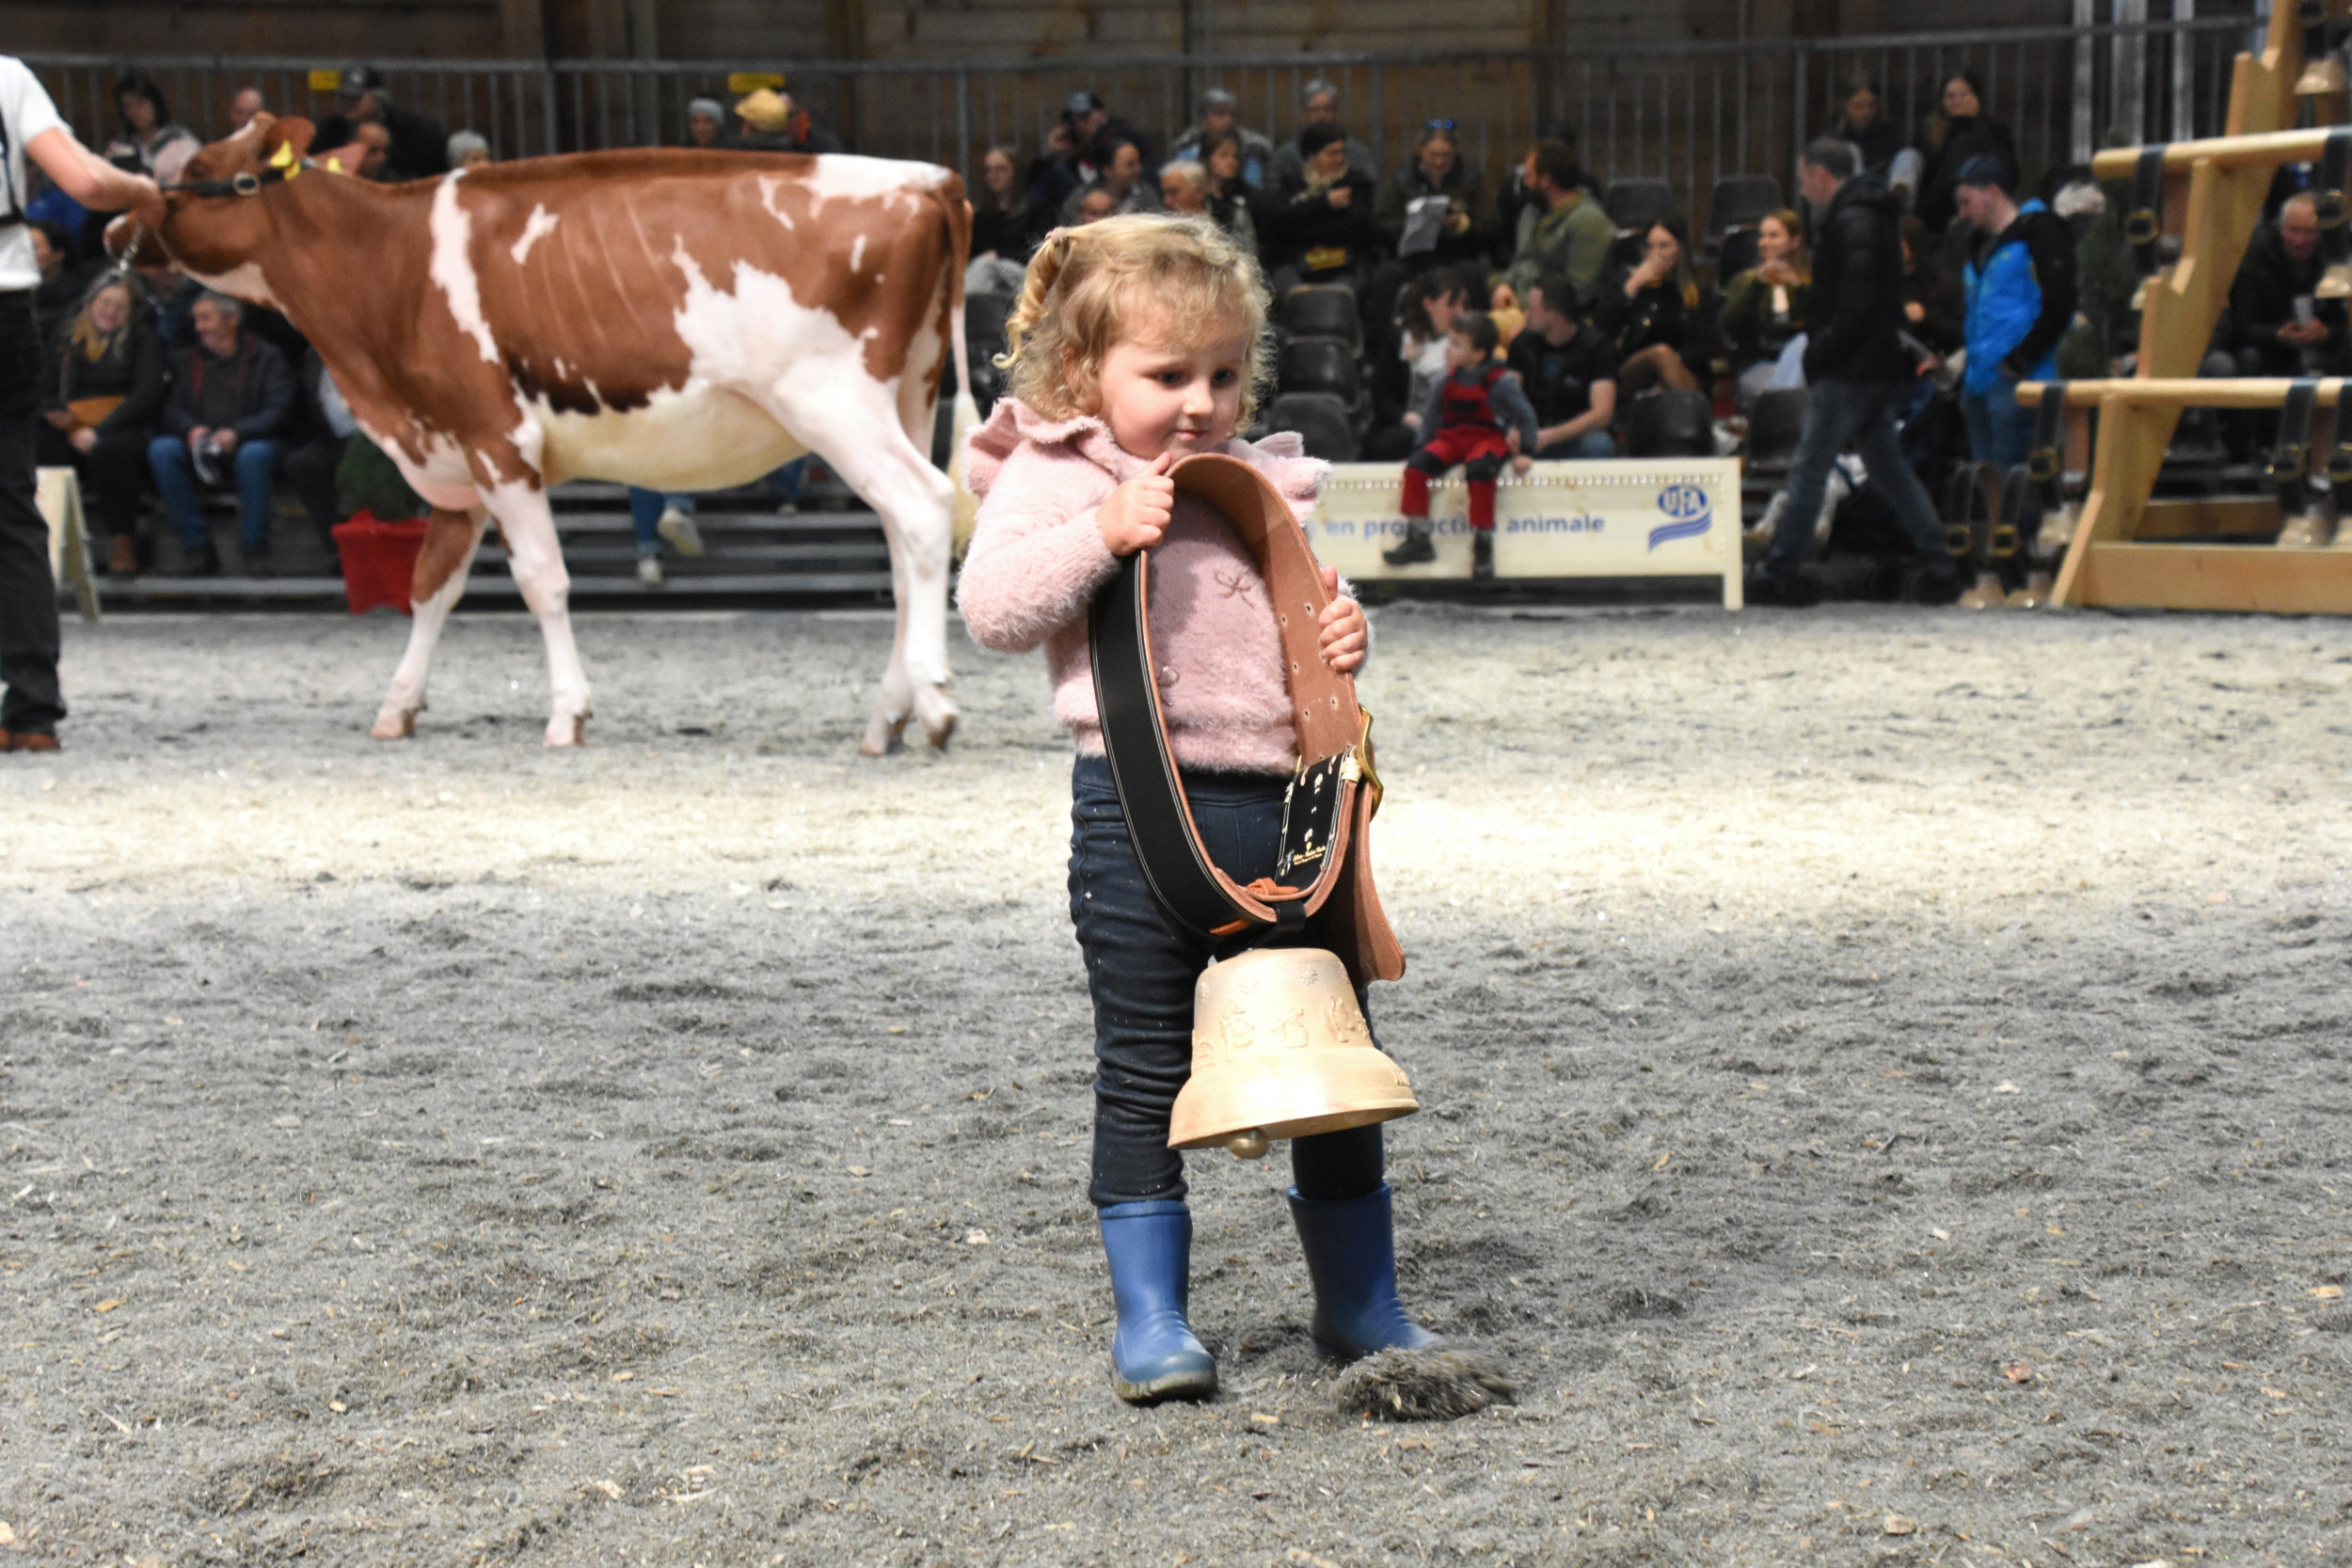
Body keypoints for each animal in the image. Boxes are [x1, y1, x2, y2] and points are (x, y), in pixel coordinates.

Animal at [118, 115, 974, 753]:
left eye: (198, 165)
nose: (116, 226)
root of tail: (926, 179)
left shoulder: (496, 439)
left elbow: (542, 581)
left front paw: (567, 712)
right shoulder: (458, 451)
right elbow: (431, 581)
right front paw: (398, 706)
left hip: (833, 402)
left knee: (923, 505)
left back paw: (932, 705)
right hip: (908, 393)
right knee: (905, 550)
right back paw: (887, 716)